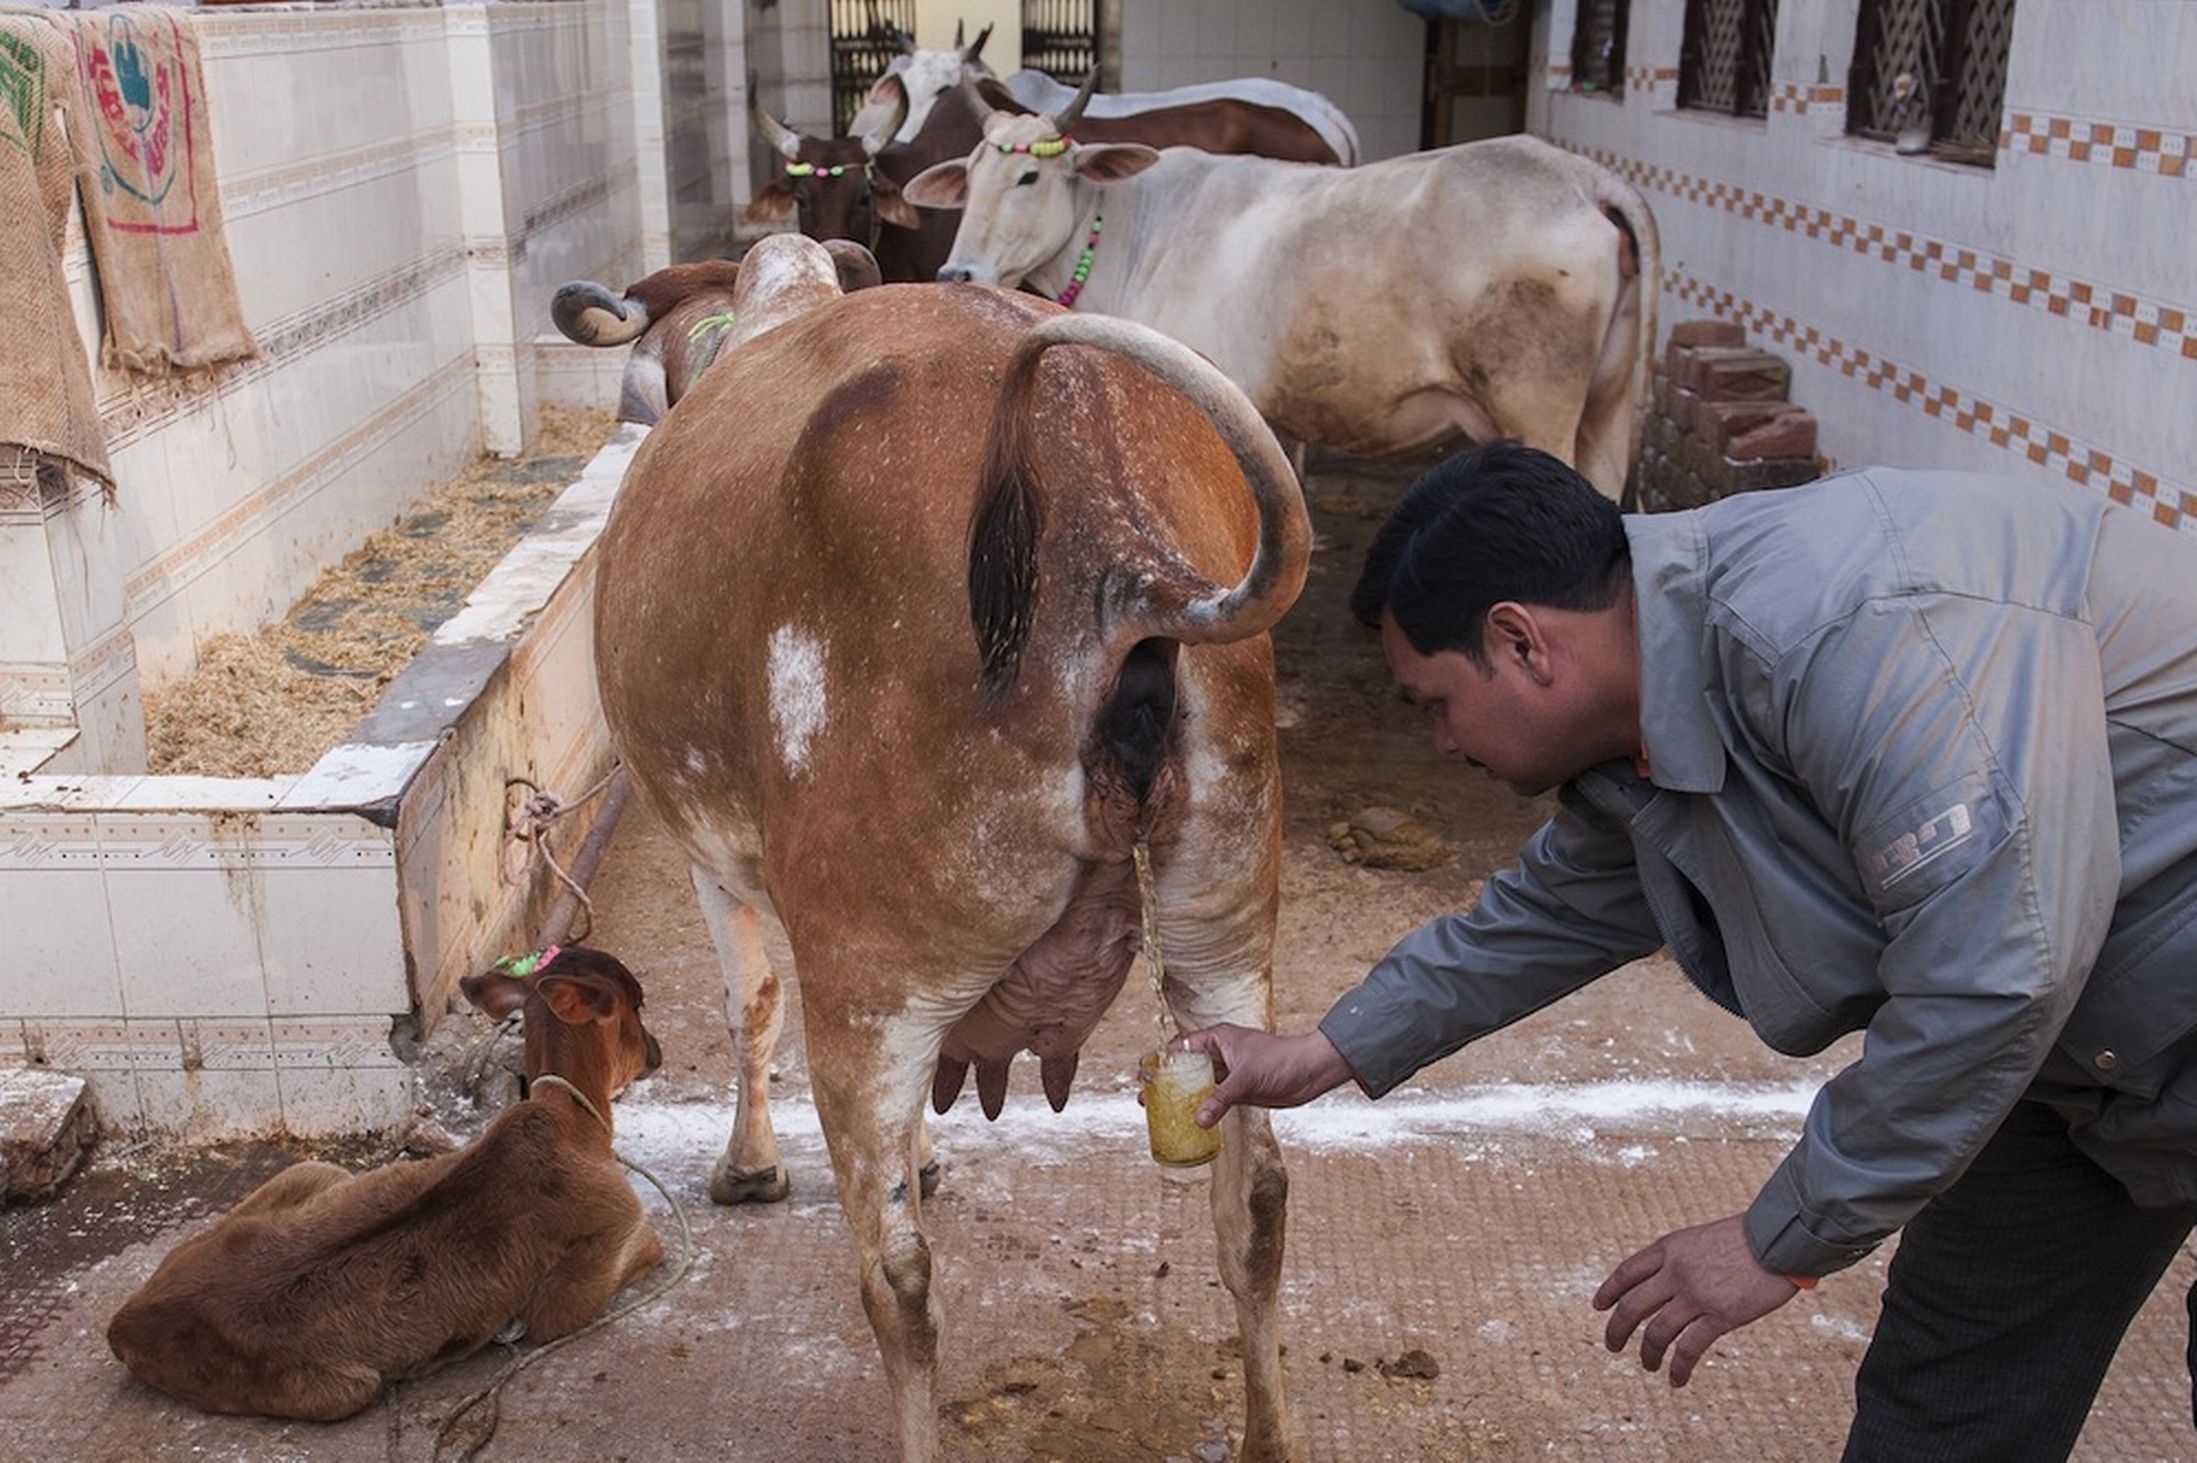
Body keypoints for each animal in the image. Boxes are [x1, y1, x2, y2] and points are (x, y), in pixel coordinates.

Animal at [103, 940, 663, 1414]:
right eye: (638, 1004)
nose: (657, 1052)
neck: (576, 1124)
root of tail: (123, 1324)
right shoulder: (583, 1277)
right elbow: (651, 1250)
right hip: (346, 1392)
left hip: (312, 1170)